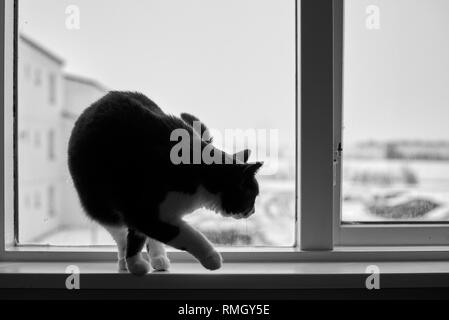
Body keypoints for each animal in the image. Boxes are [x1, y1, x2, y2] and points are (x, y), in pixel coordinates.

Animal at [68, 90, 260, 276]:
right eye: (252, 196)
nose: (253, 211)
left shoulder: (157, 213)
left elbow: (144, 234)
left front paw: (136, 263)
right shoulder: (140, 209)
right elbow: (183, 234)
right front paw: (211, 257)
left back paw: (158, 259)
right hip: (99, 204)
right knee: (119, 233)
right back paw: (124, 261)